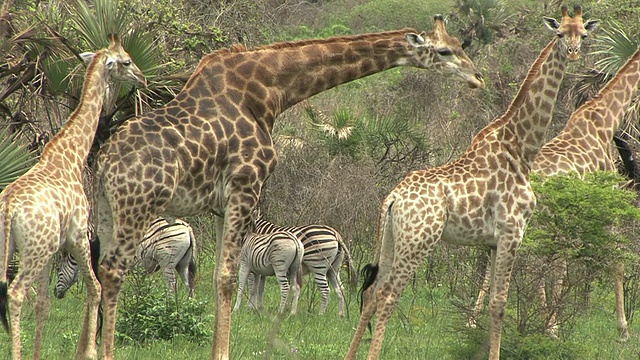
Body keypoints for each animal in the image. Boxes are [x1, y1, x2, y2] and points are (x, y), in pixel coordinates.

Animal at [0, 34, 146, 360]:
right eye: (126, 61)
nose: (142, 78)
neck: (72, 155)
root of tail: (9, 208)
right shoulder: (78, 235)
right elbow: (95, 288)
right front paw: (88, 351)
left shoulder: (52, 250)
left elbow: (43, 305)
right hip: (33, 251)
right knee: (15, 293)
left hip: (17, 248)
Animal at [55, 219, 198, 298]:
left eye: (58, 270)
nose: (55, 293)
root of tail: (187, 227)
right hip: (182, 264)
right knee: (189, 286)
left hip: (167, 261)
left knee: (171, 286)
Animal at [91, 14, 484, 360]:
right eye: (445, 51)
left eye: (461, 45)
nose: (478, 77)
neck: (269, 91)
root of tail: (105, 163)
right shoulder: (246, 186)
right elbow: (228, 278)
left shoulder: (220, 204)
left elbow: (220, 275)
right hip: (137, 206)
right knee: (113, 271)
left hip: (107, 209)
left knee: (99, 269)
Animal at [342, 5, 596, 360]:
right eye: (559, 33)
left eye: (583, 35)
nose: (573, 53)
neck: (521, 147)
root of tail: (393, 198)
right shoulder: (512, 232)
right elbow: (500, 304)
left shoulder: (491, 242)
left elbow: (490, 302)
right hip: (419, 241)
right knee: (388, 295)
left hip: (391, 238)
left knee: (371, 293)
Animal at [464, 46, 640, 342]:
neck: (605, 120)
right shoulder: (609, 209)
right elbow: (615, 262)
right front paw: (623, 329)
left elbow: (560, 267)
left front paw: (551, 322)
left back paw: (477, 320)